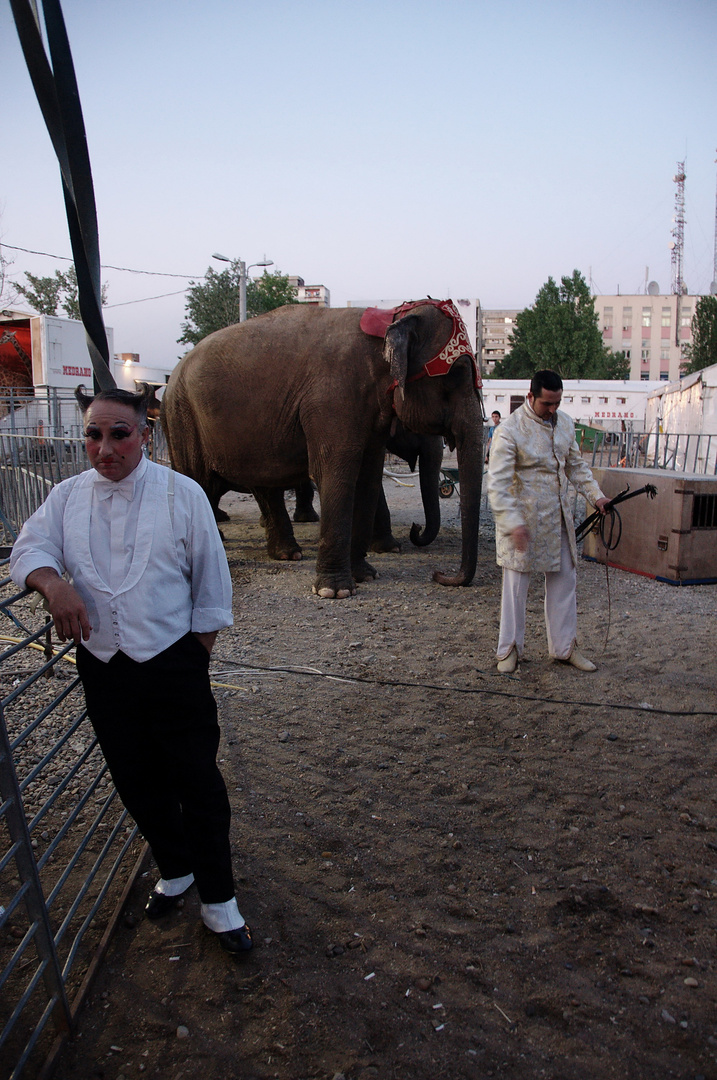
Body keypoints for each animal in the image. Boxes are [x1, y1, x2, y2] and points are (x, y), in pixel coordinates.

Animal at [161, 298, 483, 600]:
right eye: (457, 374)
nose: (439, 574)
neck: (390, 319)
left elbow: (367, 477)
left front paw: (366, 575)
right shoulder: (331, 398)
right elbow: (335, 472)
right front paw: (335, 591)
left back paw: (288, 555)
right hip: (182, 417)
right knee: (198, 481)